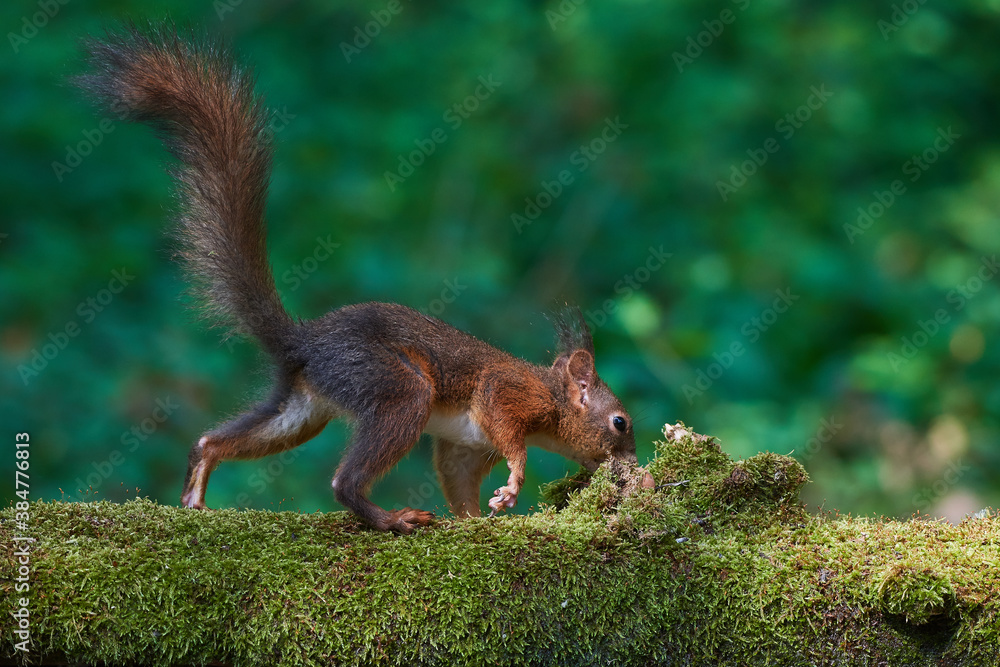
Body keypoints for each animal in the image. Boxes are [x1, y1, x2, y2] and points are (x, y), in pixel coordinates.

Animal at [78, 24, 637, 534]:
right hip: (391, 384)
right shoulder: (507, 393)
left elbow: (458, 482)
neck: (553, 399)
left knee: (221, 439)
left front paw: (476, 519)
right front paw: (515, 481)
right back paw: (390, 519)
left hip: (304, 408)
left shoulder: (464, 448)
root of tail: (304, 341)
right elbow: (507, 431)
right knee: (344, 481)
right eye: (619, 422)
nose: (632, 464)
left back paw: (197, 487)